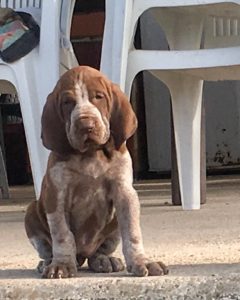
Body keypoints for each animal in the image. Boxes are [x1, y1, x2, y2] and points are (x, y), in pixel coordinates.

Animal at [23, 65, 167, 278]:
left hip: (113, 226)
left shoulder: (125, 194)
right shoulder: (56, 196)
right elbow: (62, 235)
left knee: (97, 253)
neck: (91, 154)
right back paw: (47, 262)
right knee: (49, 249)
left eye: (98, 97)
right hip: (32, 212)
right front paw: (61, 264)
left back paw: (104, 260)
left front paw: (142, 261)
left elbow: (132, 233)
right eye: (67, 102)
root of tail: (82, 255)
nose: (86, 125)